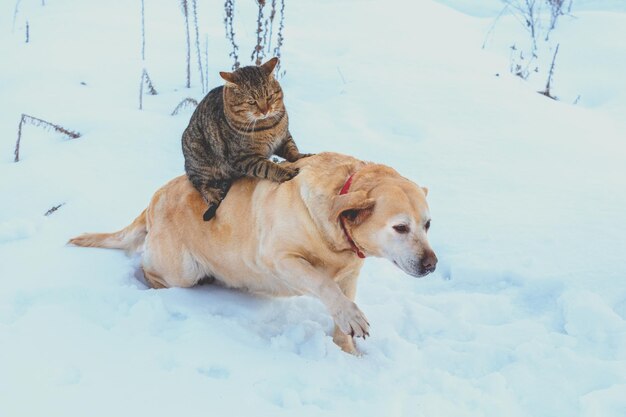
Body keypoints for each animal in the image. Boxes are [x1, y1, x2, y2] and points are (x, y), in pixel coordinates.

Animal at [69, 151, 434, 352]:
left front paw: (347, 350)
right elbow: (323, 284)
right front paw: (351, 318)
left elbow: (339, 305)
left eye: (428, 224)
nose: (431, 264)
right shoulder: (281, 258)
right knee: (149, 269)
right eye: (400, 227)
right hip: (180, 271)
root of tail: (151, 202)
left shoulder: (350, 275)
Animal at [179, 58, 308, 223]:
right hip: (198, 156)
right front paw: (285, 172)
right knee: (201, 186)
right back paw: (214, 195)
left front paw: (302, 156)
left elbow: (292, 150)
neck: (268, 125)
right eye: (252, 102)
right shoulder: (243, 158)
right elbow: (267, 167)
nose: (265, 110)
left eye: (269, 96)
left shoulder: (284, 137)